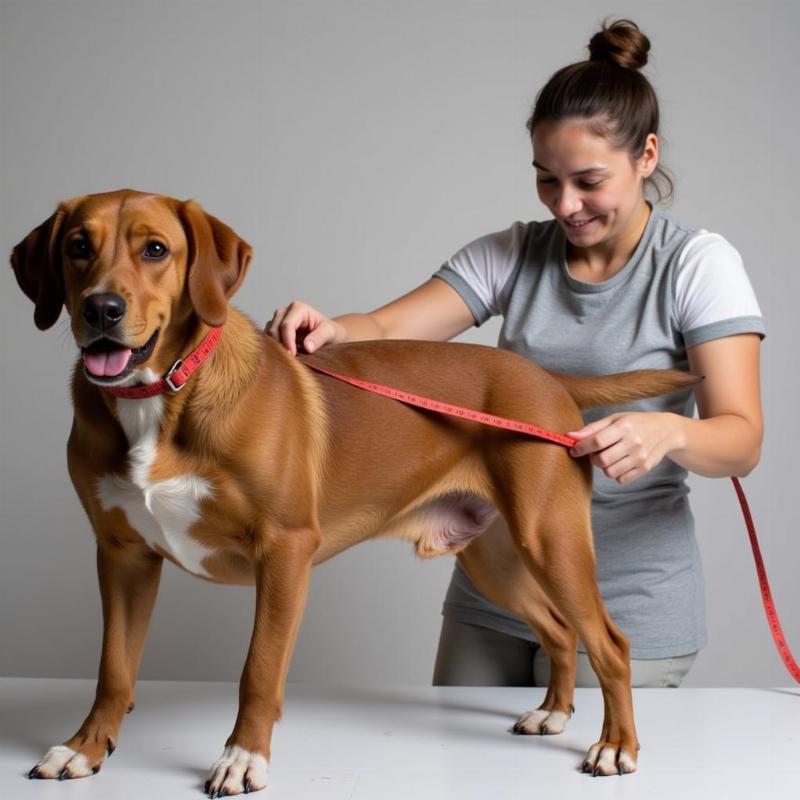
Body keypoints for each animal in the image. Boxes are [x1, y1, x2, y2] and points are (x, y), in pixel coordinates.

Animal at [12, 189, 700, 792]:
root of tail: (547, 379)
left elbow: (259, 670)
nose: (101, 309)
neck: (164, 395)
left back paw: (616, 746)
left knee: (610, 643)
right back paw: (553, 712)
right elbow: (114, 668)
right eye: (77, 247)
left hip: (549, 539)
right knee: (558, 630)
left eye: (155, 249)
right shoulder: (123, 556)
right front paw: (85, 748)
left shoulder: (284, 551)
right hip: (498, 559)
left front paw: (242, 760)